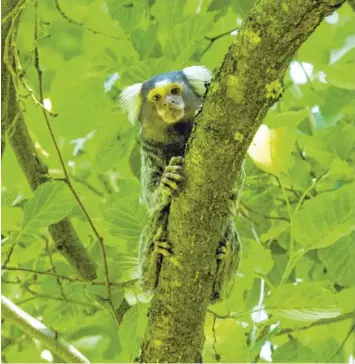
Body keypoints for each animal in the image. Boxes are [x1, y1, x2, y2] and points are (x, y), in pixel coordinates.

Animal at [121, 65, 241, 302]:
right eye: (156, 98)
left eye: (174, 91)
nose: (169, 103)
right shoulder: (149, 147)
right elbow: (150, 196)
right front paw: (165, 183)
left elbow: (237, 180)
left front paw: (230, 196)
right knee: (160, 217)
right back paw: (154, 259)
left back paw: (224, 261)